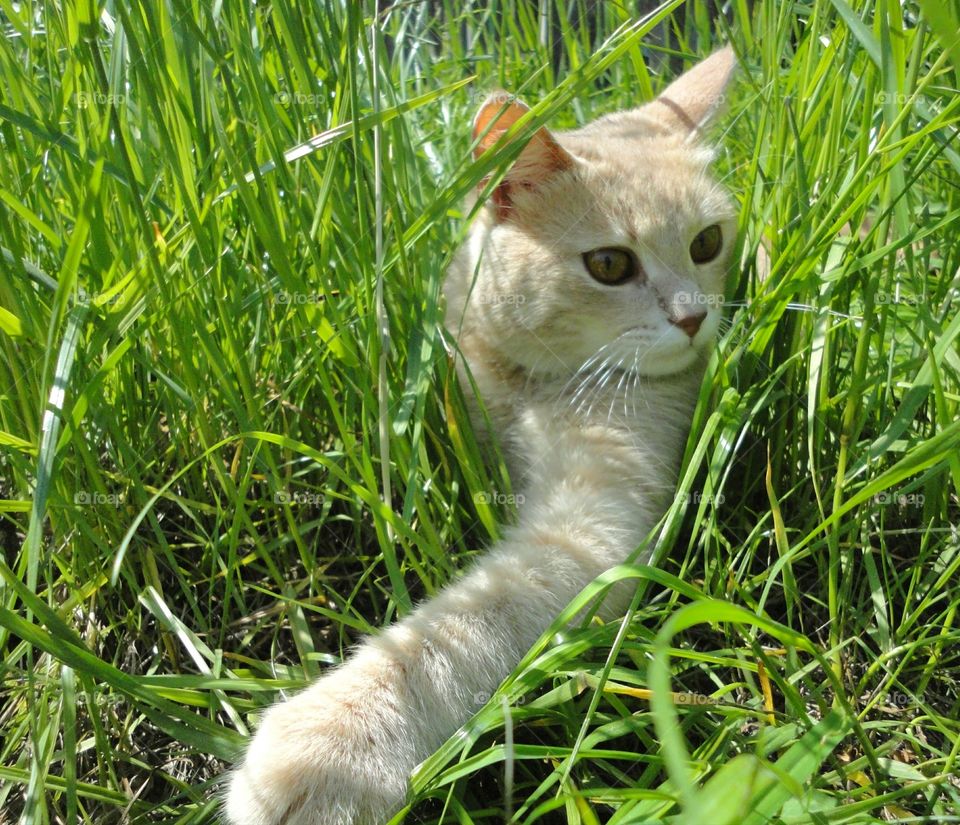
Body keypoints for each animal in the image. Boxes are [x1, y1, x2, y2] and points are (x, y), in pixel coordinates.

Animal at [223, 46, 736, 824]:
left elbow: (463, 625)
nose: (693, 318)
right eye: (609, 264)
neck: (527, 382)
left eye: (707, 243)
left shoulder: (598, 529)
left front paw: (335, 740)